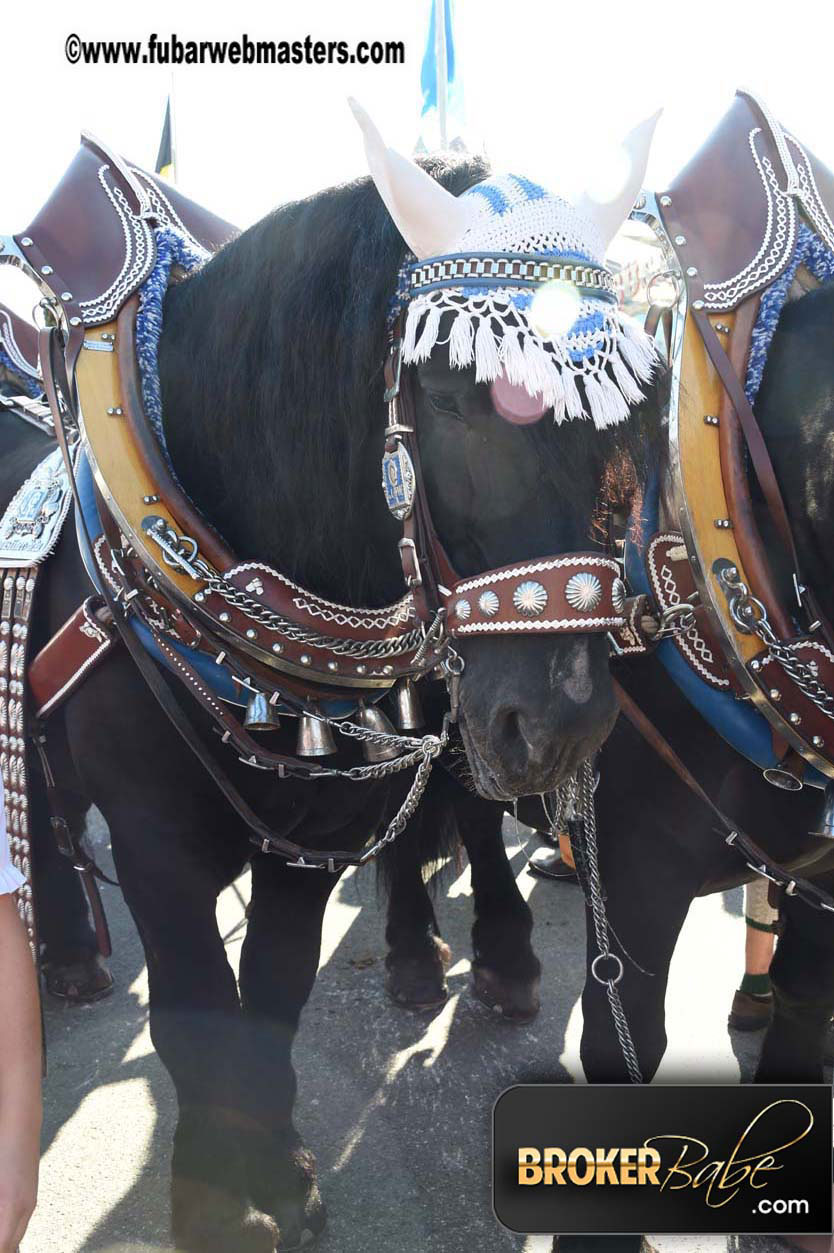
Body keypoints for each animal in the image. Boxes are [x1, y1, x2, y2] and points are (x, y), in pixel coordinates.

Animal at [3, 156, 661, 1253]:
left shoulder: (316, 831)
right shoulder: (153, 840)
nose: (565, 721)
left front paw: (278, 1171)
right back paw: (65, 952)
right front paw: (217, 1202)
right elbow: (193, 1008)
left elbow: (272, 991)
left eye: (624, 418)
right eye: (452, 396)